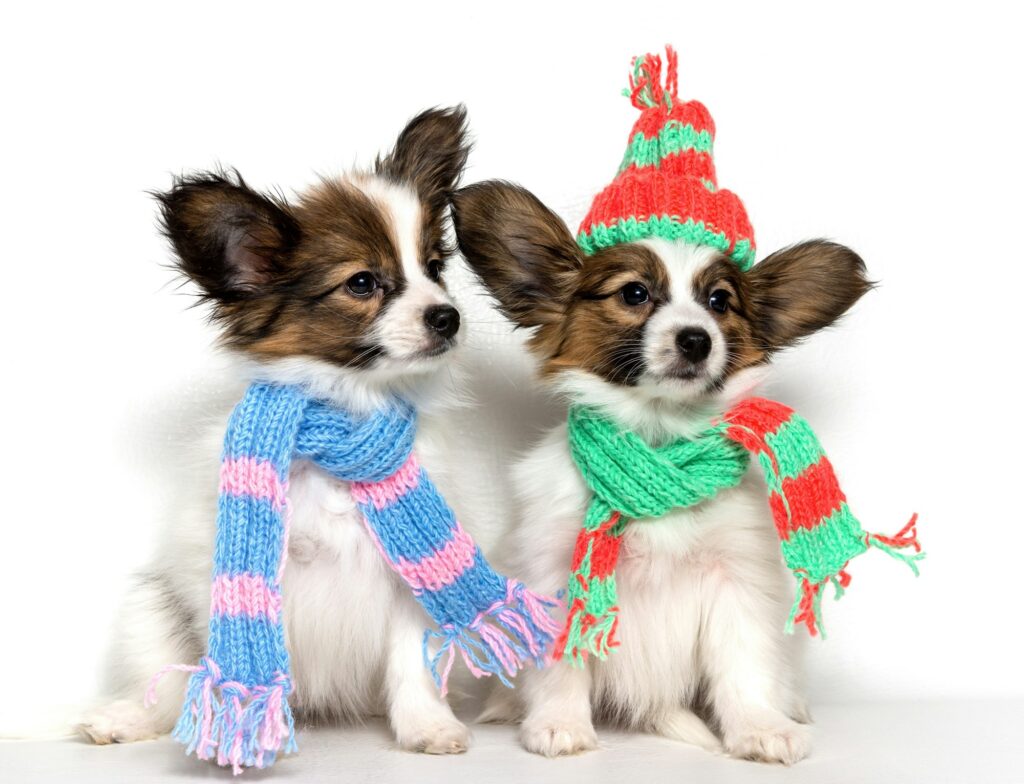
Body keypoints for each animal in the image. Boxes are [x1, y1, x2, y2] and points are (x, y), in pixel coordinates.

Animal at [78, 105, 475, 753]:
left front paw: (427, 727)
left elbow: (409, 661)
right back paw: (127, 717)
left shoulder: (406, 582)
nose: (449, 317)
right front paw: (242, 724)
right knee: (167, 682)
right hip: (151, 608)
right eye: (362, 283)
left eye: (436, 269)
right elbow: (241, 661)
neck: (345, 416)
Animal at [456, 181, 872, 765]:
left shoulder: (736, 579)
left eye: (720, 301)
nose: (696, 339)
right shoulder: (557, 573)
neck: (658, 444)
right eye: (634, 294)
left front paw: (759, 727)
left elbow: (744, 664)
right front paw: (559, 723)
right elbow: (562, 662)